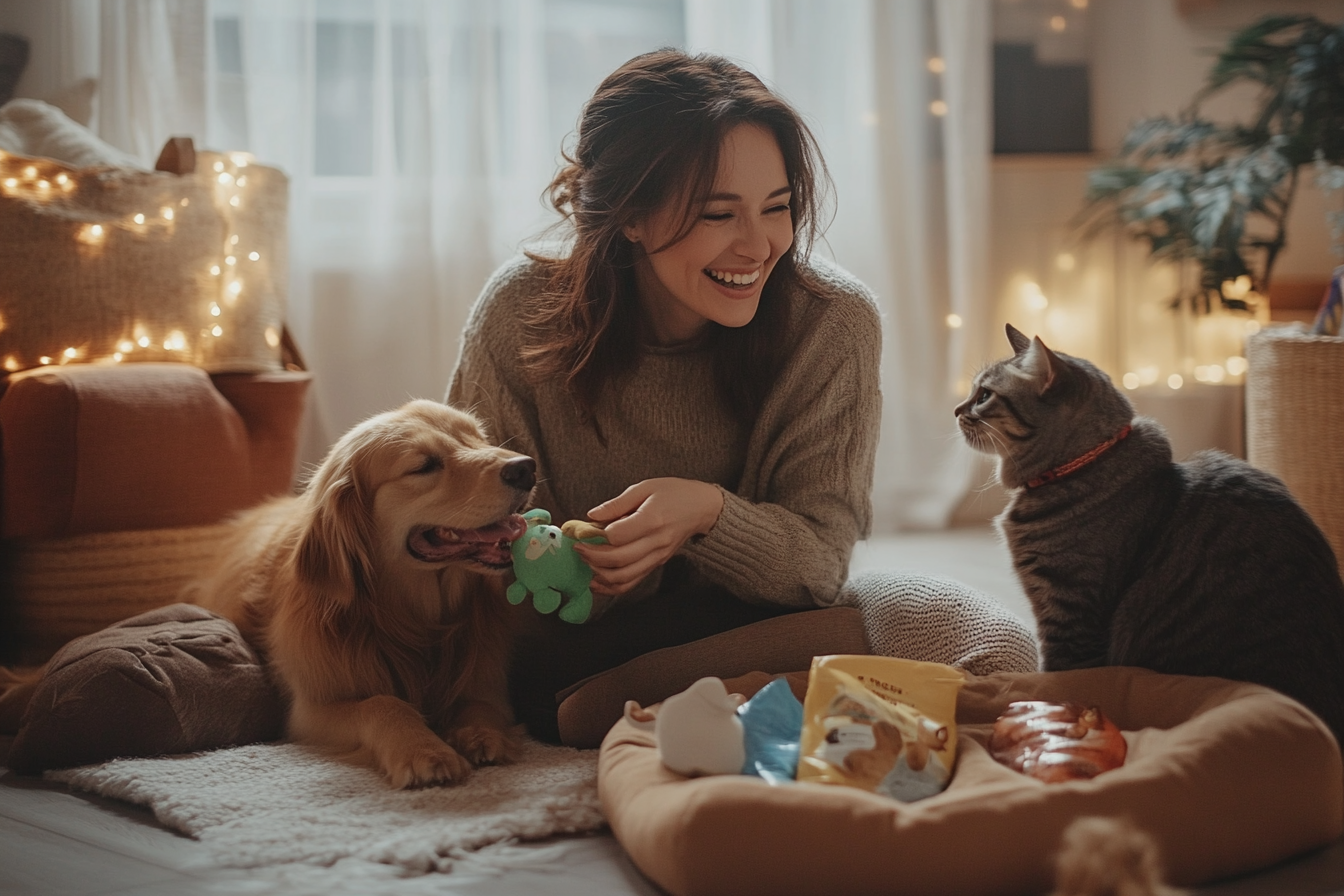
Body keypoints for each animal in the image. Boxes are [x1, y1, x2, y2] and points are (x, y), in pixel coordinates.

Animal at [189, 402, 534, 789]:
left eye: (478, 437)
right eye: (424, 465)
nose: (525, 468)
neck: (414, 621)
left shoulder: (486, 684)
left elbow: (481, 706)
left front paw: (483, 735)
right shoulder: (310, 712)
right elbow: (382, 703)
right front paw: (425, 751)